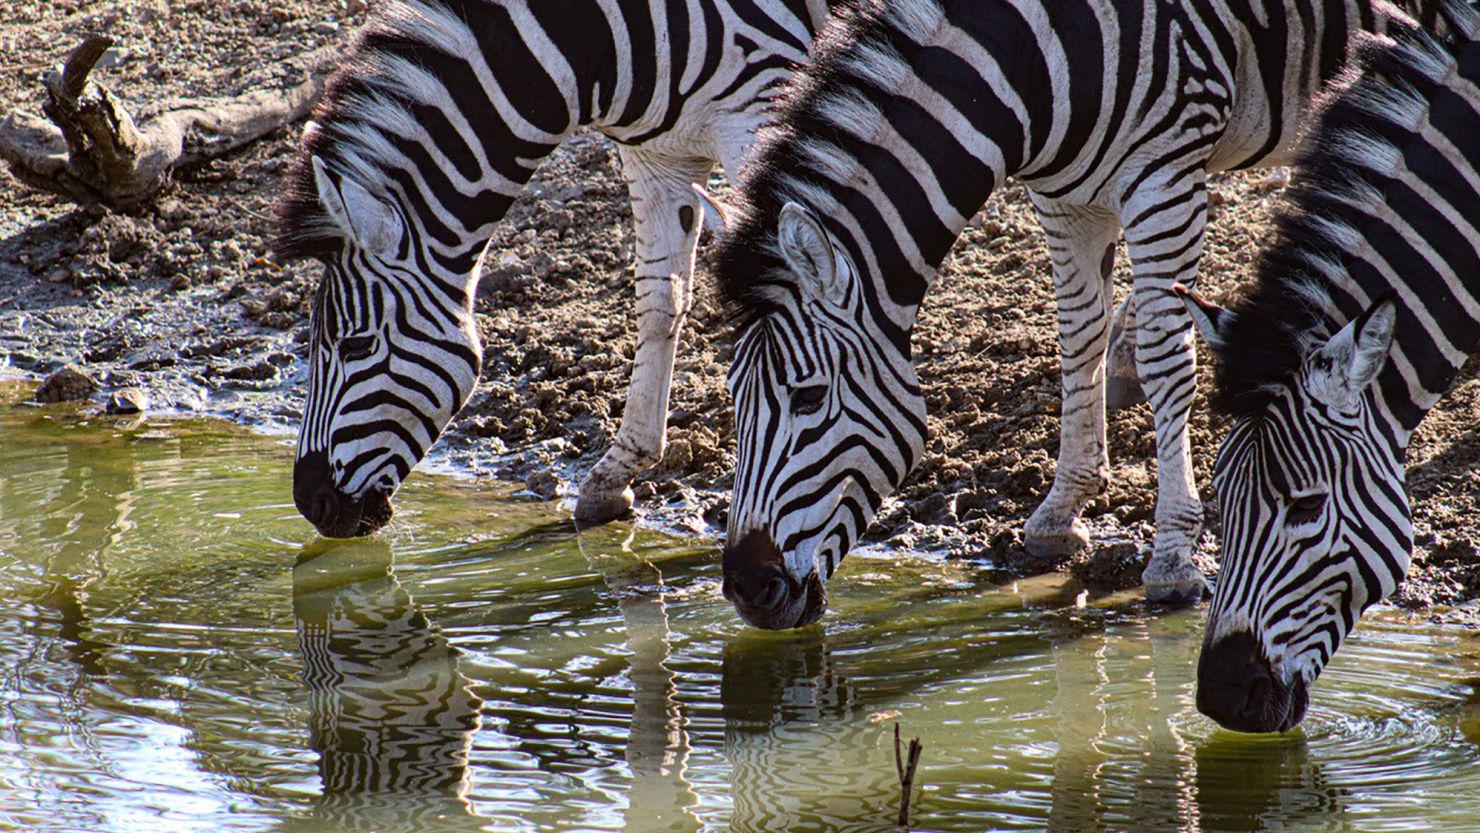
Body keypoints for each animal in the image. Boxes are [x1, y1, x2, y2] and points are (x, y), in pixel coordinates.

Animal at [272, 0, 840, 538]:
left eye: (356, 346)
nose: (309, 502)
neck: (596, 39)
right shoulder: (659, 154)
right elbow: (661, 302)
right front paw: (615, 475)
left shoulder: (766, 104)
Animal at [692, 0, 1408, 627]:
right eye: (732, 395)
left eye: (808, 398)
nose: (746, 590)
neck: (1039, 57)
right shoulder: (1064, 199)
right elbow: (1075, 340)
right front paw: (1060, 513)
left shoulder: (1166, 179)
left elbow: (1167, 360)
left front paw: (1173, 557)